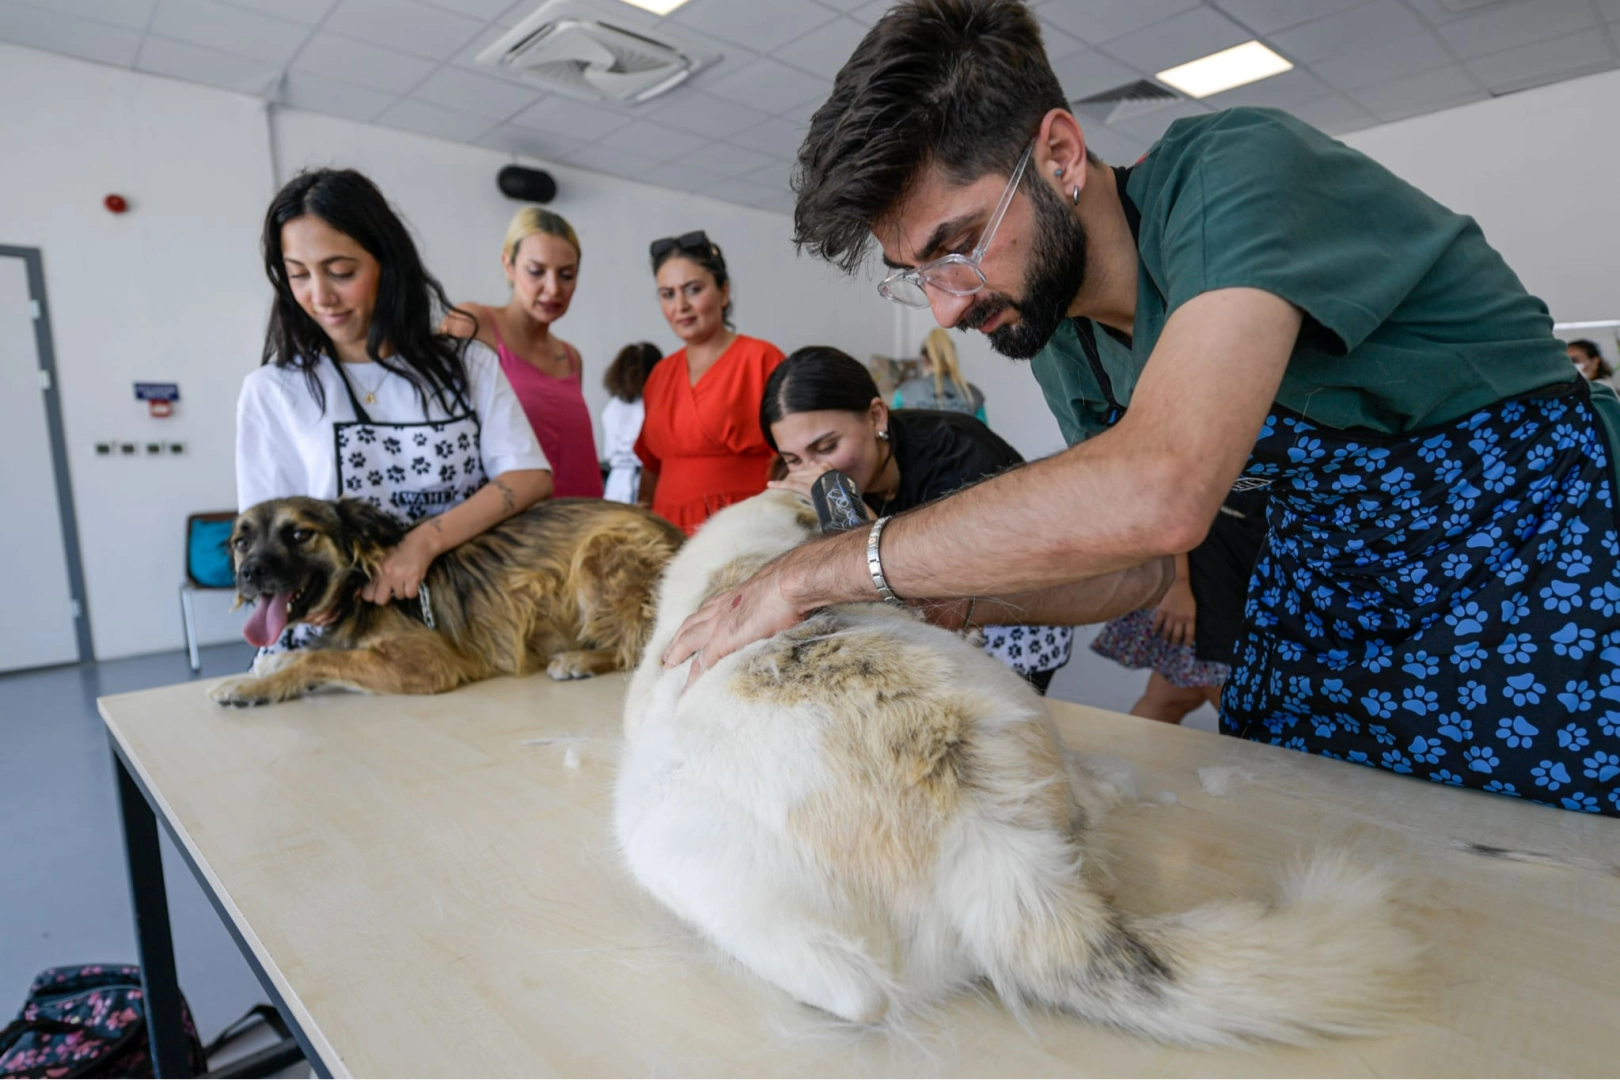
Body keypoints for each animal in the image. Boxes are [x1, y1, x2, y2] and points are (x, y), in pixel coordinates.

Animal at [207, 498, 677, 709]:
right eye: (242, 542)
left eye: (299, 534)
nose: (249, 573)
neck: (360, 583)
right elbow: (315, 653)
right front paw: (270, 666)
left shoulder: (427, 662)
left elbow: (316, 659)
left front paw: (246, 687)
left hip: (600, 554)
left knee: (637, 648)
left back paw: (578, 659)